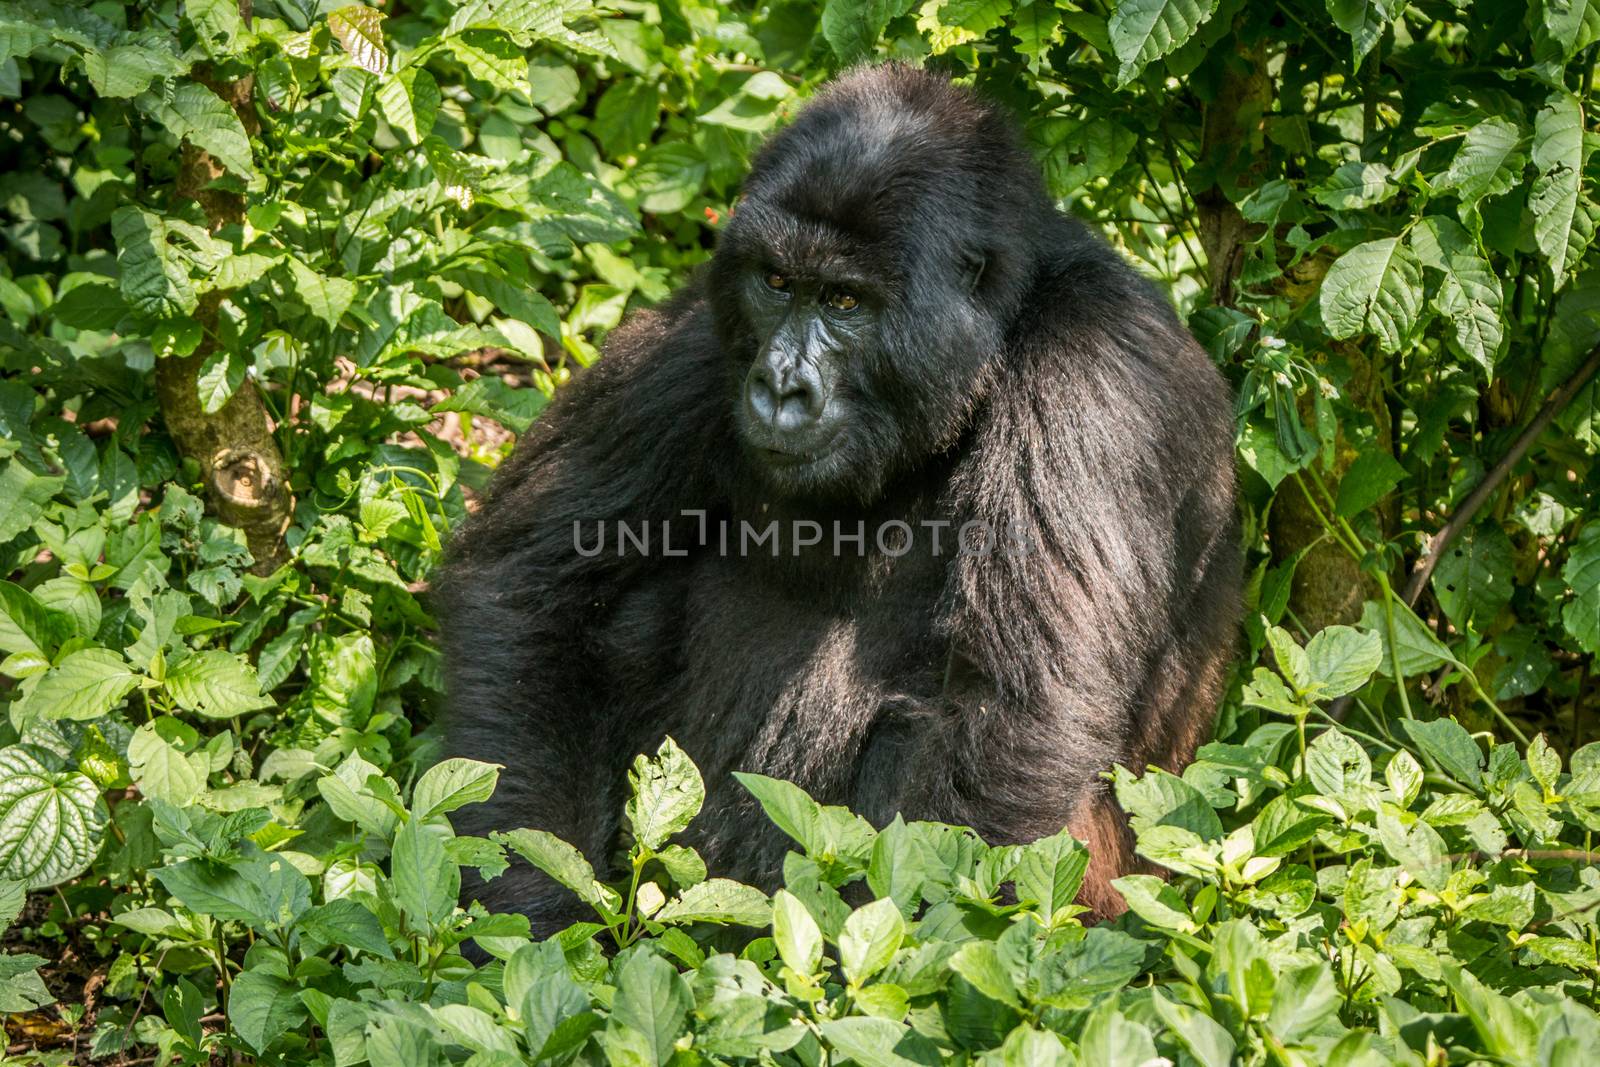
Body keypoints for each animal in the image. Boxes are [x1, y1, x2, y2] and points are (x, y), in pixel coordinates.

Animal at [435, 64, 1235, 927]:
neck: (1000, 334)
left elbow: (1008, 725)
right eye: (777, 282)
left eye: (846, 301)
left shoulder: (1097, 375)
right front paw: (533, 924)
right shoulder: (702, 332)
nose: (781, 387)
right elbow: (530, 591)